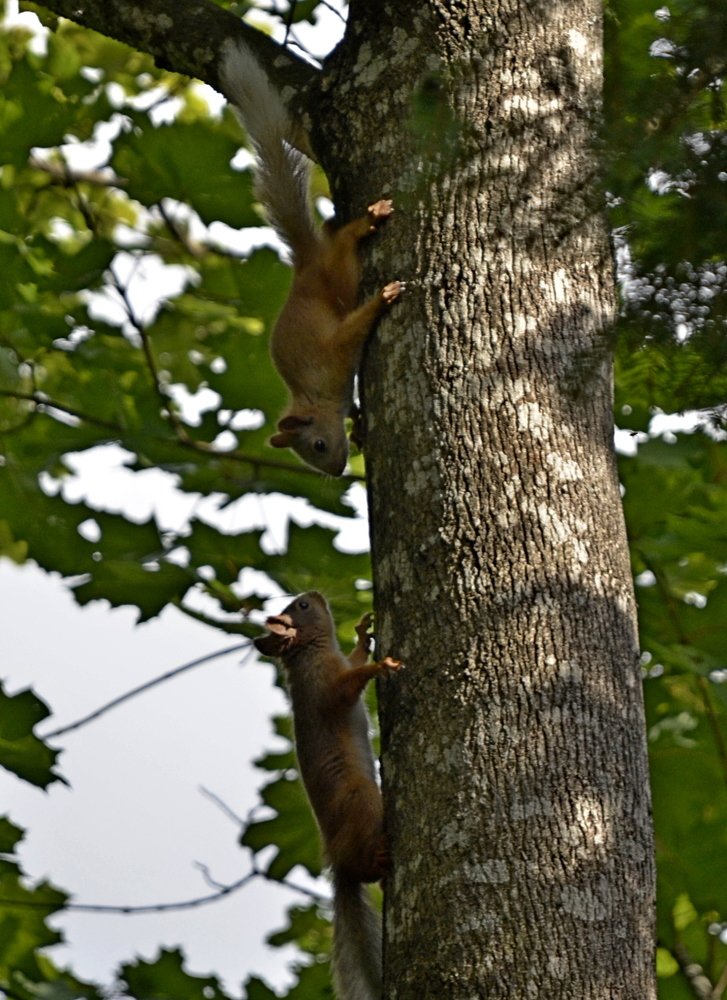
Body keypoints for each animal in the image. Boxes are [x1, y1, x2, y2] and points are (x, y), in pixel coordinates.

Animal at [220, 41, 405, 475]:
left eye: (318, 444)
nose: (336, 471)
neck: (315, 396)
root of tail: (304, 264)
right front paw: (358, 425)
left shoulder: (332, 354)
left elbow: (354, 329)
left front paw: (383, 298)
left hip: (337, 270)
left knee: (346, 243)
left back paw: (367, 221)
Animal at [254, 591, 402, 1000]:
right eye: (301, 607)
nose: (315, 594)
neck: (309, 652)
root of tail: (336, 858)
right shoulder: (325, 684)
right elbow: (348, 686)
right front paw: (381, 665)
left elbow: (354, 659)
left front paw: (364, 636)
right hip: (361, 797)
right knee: (363, 865)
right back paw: (379, 859)